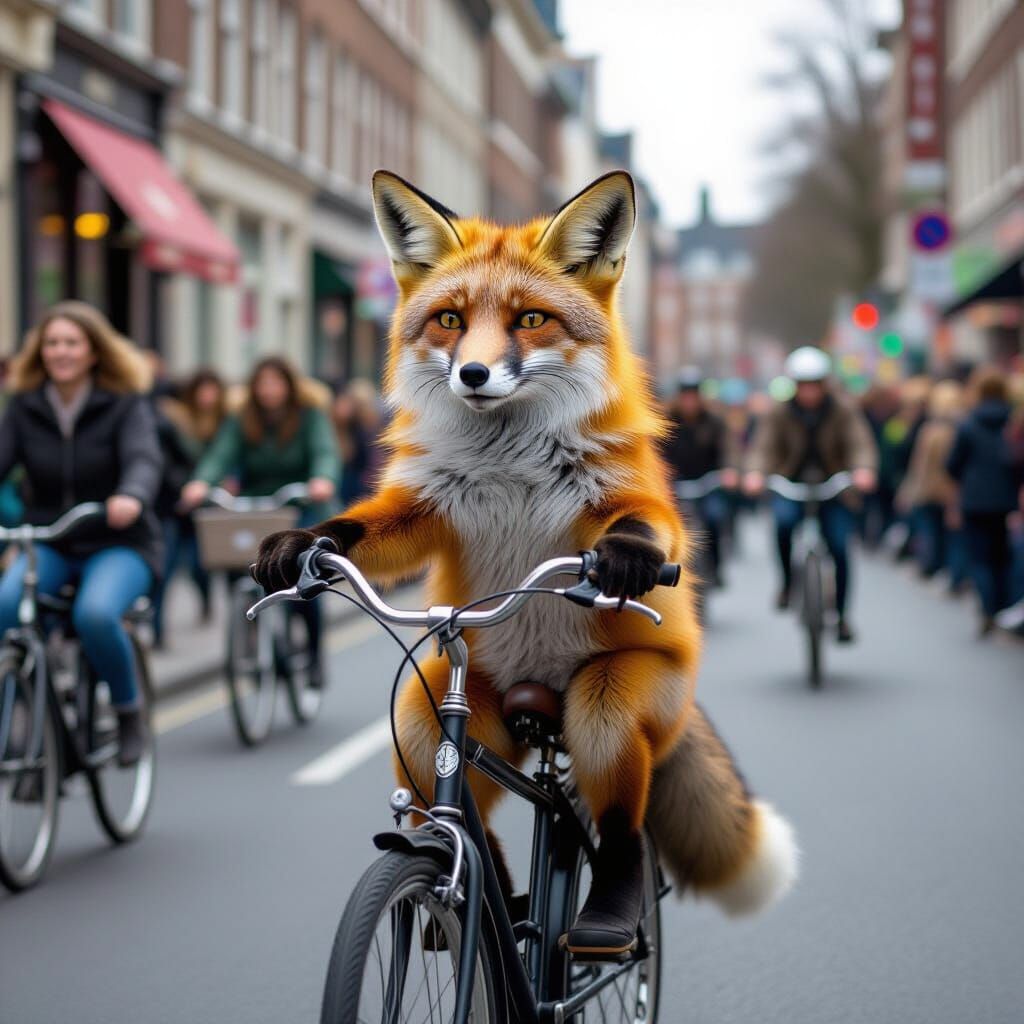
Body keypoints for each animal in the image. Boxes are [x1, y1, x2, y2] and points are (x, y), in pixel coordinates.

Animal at [253, 169, 798, 955]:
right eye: (450, 320)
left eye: (530, 319)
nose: (474, 374)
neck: (507, 465)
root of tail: (539, 707)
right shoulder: (423, 509)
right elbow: (366, 530)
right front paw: (298, 545)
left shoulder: (630, 497)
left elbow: (653, 530)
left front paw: (626, 561)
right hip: (432, 713)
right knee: (452, 815)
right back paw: (500, 907)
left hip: (618, 700)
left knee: (618, 820)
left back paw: (607, 914)